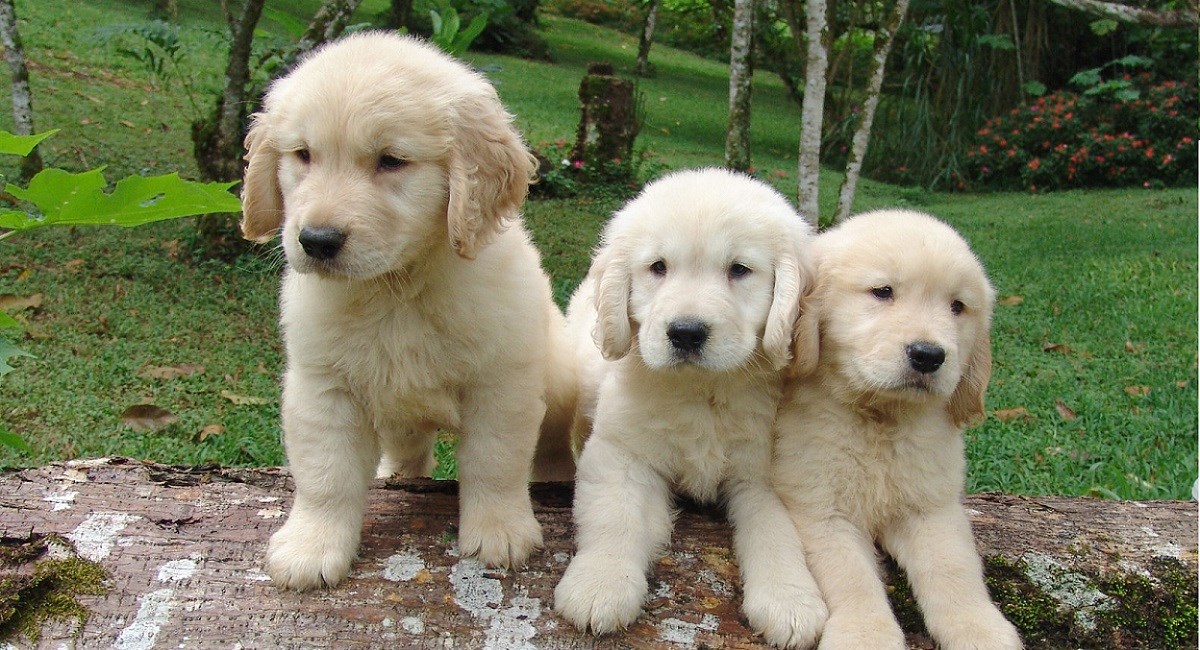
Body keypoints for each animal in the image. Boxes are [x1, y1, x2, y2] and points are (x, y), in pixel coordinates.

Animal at [238, 33, 576, 594]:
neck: (396, 291)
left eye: (392, 160)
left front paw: (499, 530)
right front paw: (312, 546)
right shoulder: (323, 385)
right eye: (303, 155)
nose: (316, 241)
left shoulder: (500, 383)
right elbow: (325, 474)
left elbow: (494, 461)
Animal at [554, 169, 830, 650]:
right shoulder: (620, 451)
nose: (685, 333)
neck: (703, 390)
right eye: (658, 267)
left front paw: (790, 600)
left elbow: (778, 532)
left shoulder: (764, 473)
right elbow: (614, 514)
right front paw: (600, 584)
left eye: (739, 269)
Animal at [768, 209, 1022, 650]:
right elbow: (850, 575)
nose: (928, 355)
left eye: (957, 306)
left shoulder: (931, 506)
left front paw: (979, 629)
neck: (880, 419)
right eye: (883, 292)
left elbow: (953, 568)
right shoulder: (821, 509)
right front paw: (865, 635)